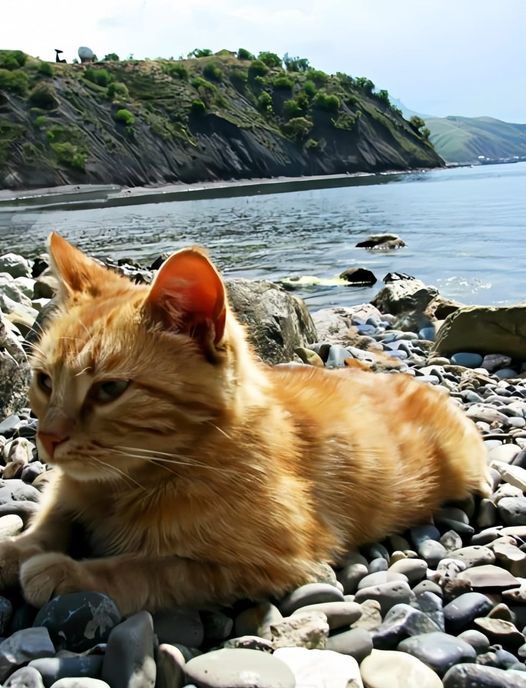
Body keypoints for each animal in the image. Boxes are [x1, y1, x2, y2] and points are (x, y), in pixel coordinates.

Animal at [0, 235, 490, 612]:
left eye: (109, 390)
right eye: (44, 381)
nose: (46, 438)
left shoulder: (268, 562)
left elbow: (147, 569)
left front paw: (67, 572)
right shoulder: (66, 489)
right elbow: (51, 519)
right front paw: (16, 549)